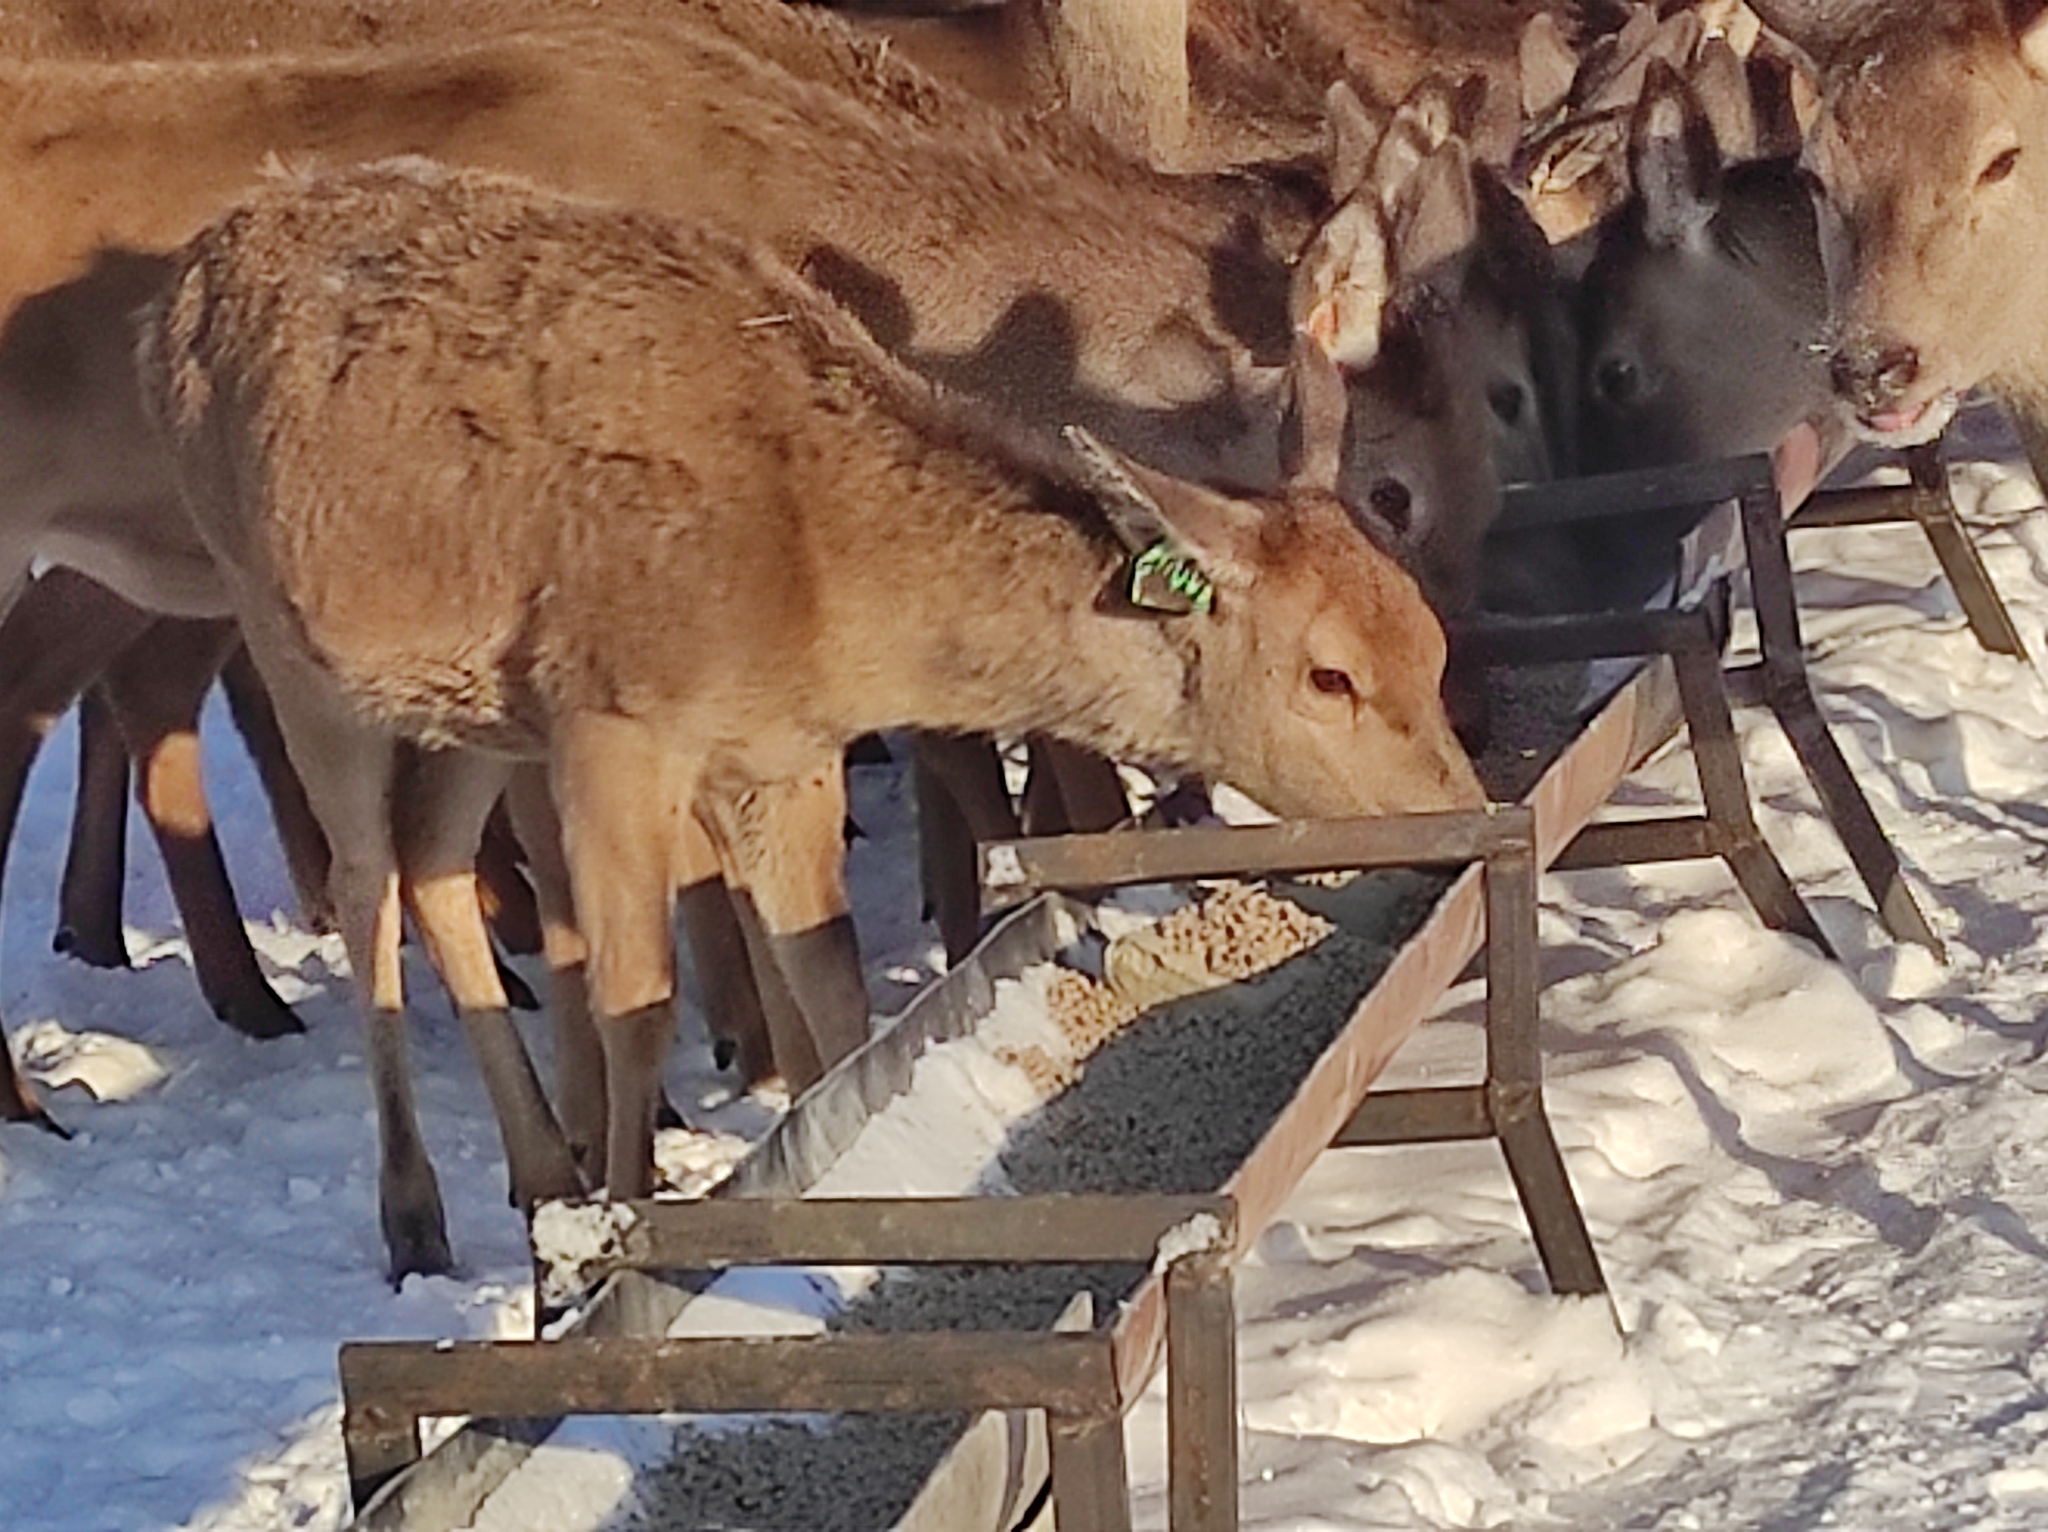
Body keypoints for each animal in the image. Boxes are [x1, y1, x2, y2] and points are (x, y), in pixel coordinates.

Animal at [144, 158, 1490, 1278]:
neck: (822, 590)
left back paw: (534, 1173)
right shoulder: (612, 719)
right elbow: (640, 1001)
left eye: (1427, 638)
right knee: (367, 880)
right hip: (282, 626)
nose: (1464, 810)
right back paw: (416, 1216)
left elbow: (834, 989)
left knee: (430, 861)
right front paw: (624, 1238)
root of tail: (195, 263)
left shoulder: (780, 756)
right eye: (1329, 677)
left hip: (471, 707)